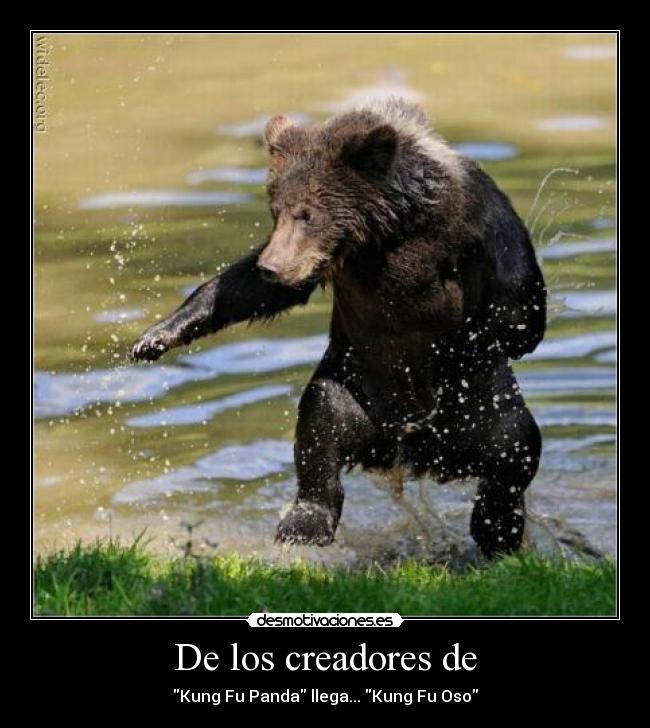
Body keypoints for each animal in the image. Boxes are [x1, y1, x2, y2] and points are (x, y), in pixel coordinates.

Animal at [132, 99, 546, 557]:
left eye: (308, 214)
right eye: (275, 210)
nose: (271, 266)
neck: (385, 234)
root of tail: (415, 449)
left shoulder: (470, 215)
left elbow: (515, 286)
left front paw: (507, 324)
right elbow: (243, 290)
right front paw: (156, 336)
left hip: (478, 404)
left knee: (514, 445)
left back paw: (497, 527)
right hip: (359, 389)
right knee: (321, 424)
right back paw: (306, 521)